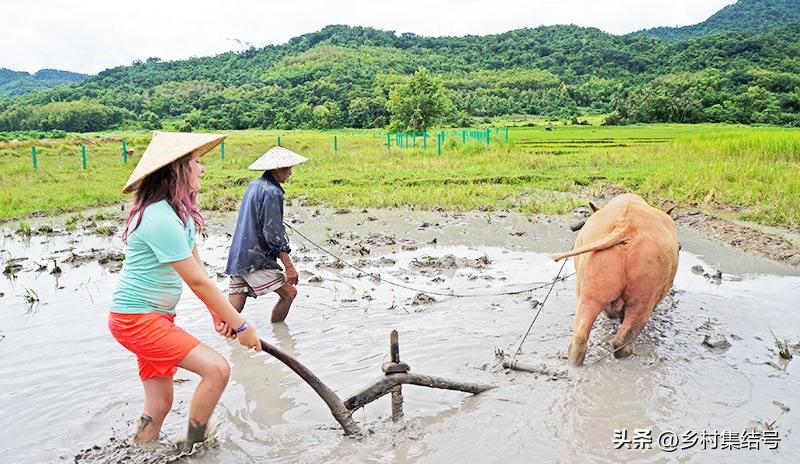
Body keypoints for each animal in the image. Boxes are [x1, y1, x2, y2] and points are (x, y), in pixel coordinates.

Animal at [552, 193, 680, 366]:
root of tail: (625, 227)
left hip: (590, 295)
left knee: (579, 337)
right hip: (643, 299)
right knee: (622, 339)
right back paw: (628, 350)